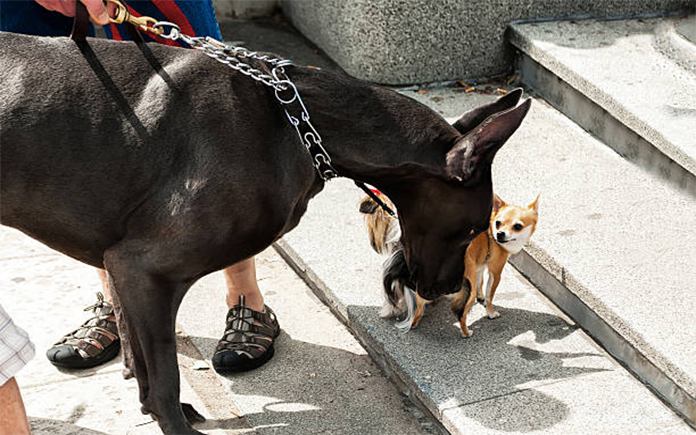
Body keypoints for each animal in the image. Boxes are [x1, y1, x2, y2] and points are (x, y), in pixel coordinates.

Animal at [362, 191, 540, 338]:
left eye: (517, 226)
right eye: (498, 223)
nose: (500, 234)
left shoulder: (478, 264)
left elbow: (481, 282)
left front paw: (481, 297)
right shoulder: (495, 271)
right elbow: (490, 294)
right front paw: (490, 312)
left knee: (417, 306)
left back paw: (413, 320)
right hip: (465, 285)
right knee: (460, 314)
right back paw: (466, 332)